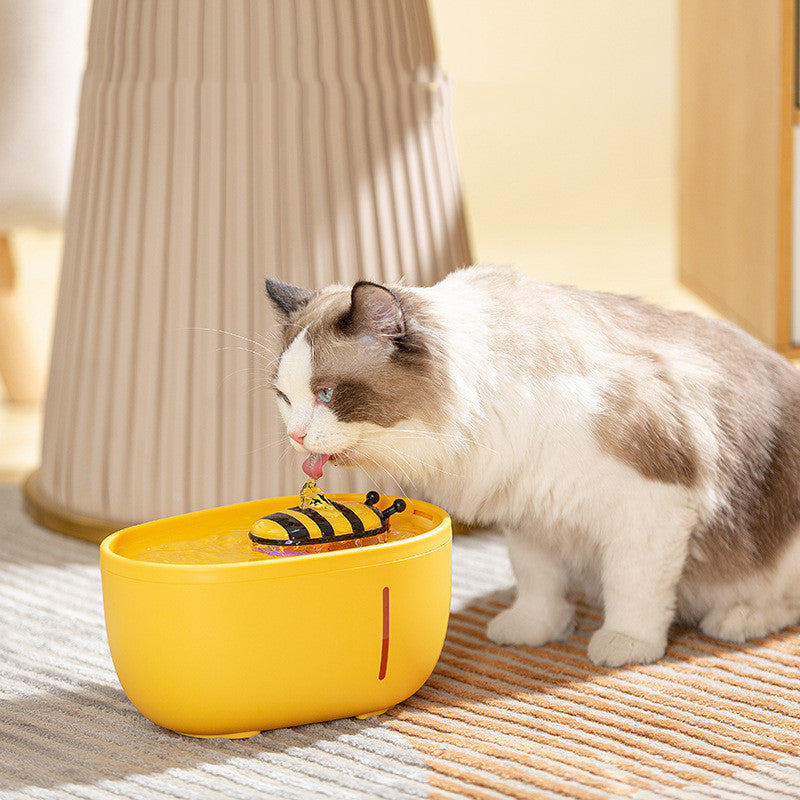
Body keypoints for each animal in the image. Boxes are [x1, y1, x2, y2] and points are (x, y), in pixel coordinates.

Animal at [266, 266, 800, 664]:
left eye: (326, 394)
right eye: (284, 398)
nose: (294, 437)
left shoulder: (651, 505)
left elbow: (634, 588)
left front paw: (626, 644)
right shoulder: (530, 509)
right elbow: (538, 581)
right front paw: (535, 628)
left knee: (783, 602)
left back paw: (737, 618)